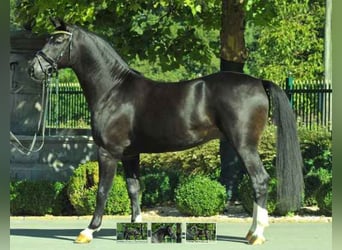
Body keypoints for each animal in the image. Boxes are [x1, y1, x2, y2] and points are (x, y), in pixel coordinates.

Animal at [28, 19, 304, 244]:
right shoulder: (130, 154)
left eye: (58, 40)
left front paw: (88, 231)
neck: (113, 90)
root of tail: (258, 82)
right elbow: (134, 189)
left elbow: (102, 191)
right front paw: (136, 228)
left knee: (260, 181)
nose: (33, 68)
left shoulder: (108, 152)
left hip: (245, 146)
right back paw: (251, 232)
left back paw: (256, 234)